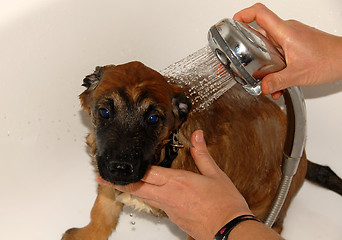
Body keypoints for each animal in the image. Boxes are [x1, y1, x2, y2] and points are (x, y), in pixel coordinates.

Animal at [62, 62, 308, 240]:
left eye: (153, 119)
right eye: (104, 112)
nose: (121, 169)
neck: (165, 155)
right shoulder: (105, 174)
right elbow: (102, 212)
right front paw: (87, 234)